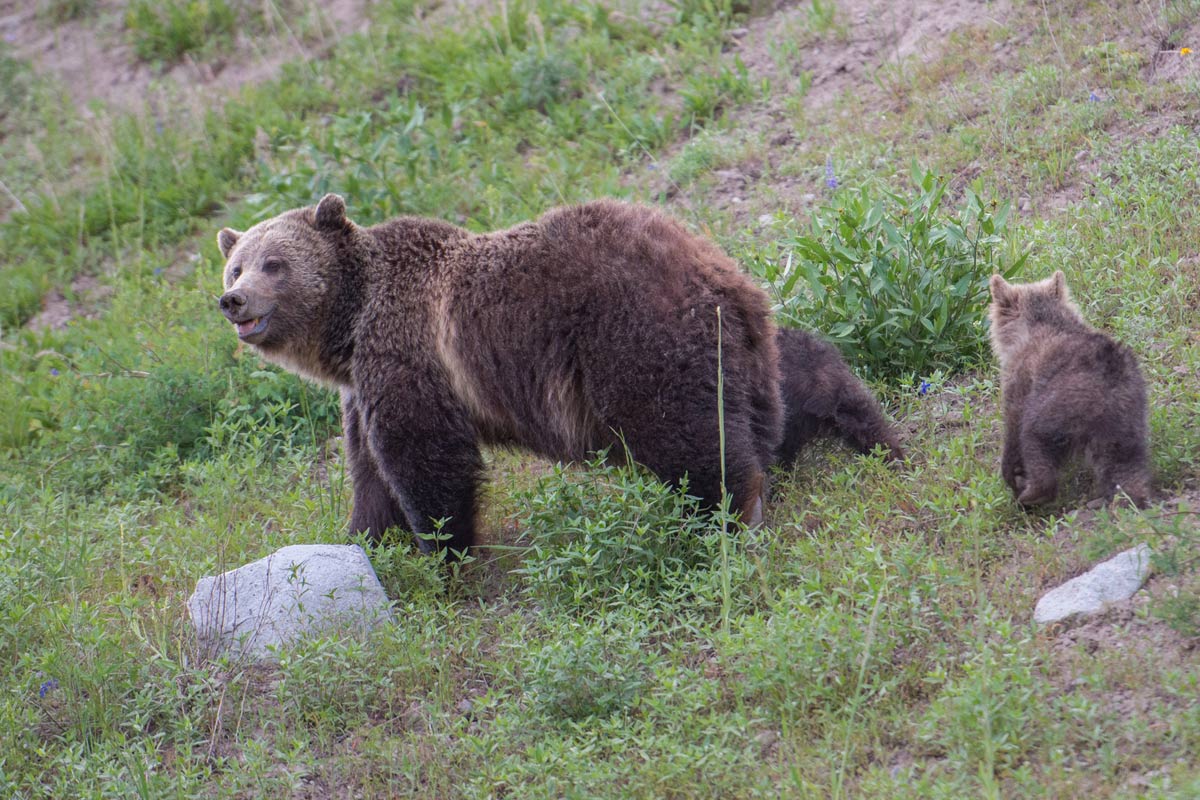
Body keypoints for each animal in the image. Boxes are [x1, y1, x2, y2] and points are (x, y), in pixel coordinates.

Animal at [217, 195, 783, 554]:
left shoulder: (407, 352)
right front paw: (367, 539)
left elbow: (425, 455)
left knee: (682, 431)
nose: (233, 300)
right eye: (235, 266)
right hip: (748, 344)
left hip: (631, 334)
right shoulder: (361, 388)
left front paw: (443, 548)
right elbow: (370, 472)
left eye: (274, 263)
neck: (351, 324)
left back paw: (725, 514)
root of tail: (707, 266)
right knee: (756, 412)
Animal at [988, 271, 1151, 507]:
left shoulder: (1019, 381)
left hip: (1055, 404)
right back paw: (1130, 496)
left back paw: (1031, 494)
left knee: (1036, 442)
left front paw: (1010, 470)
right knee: (1125, 460)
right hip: (1129, 415)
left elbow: (1012, 424)